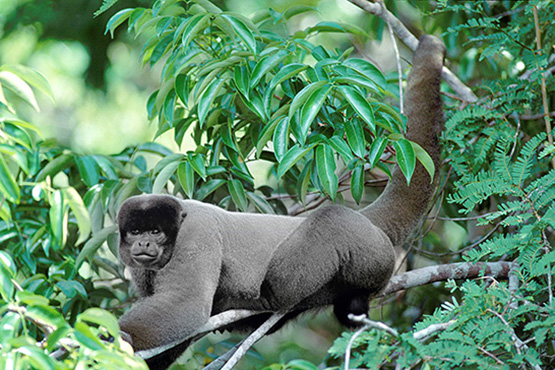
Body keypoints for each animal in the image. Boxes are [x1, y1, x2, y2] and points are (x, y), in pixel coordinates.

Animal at [115, 34, 446, 368]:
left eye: (156, 231)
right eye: (136, 232)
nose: (144, 243)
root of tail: (367, 220)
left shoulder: (196, 233)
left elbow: (187, 303)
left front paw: (115, 336)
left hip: (372, 251)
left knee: (326, 227)